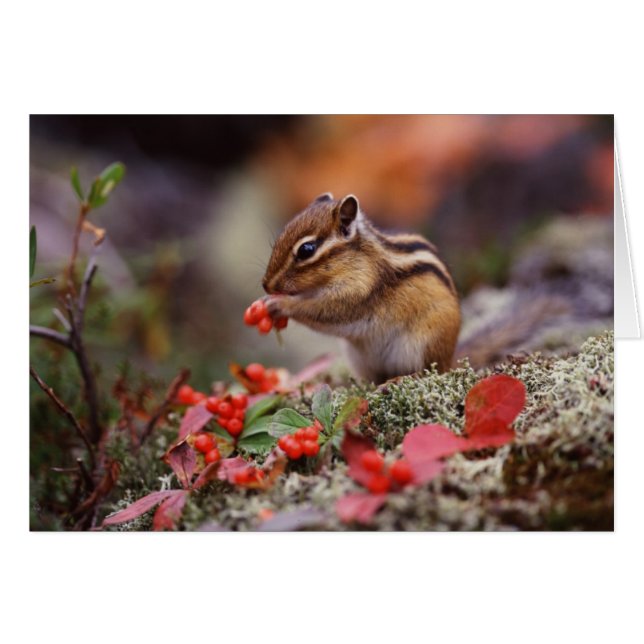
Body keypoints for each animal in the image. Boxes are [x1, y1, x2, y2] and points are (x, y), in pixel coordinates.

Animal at [262, 193, 461, 383]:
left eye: (306, 249)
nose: (266, 285)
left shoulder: (358, 292)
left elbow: (322, 310)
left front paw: (281, 305)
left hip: (424, 344)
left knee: (431, 371)